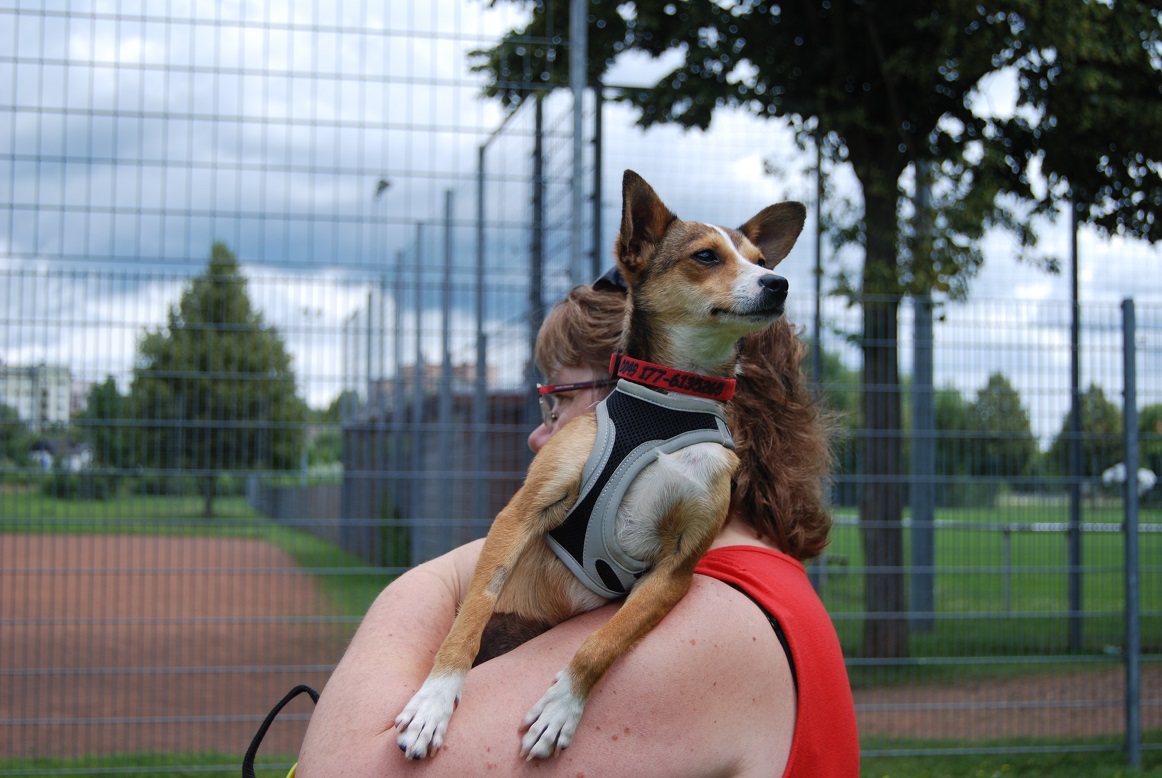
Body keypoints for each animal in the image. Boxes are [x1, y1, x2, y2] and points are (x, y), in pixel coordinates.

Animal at [394, 170, 806, 760]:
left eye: (762, 261)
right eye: (706, 256)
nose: (779, 284)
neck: (669, 404)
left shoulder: (674, 572)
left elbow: (605, 642)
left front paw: (562, 706)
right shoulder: (521, 513)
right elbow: (475, 606)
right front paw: (434, 700)